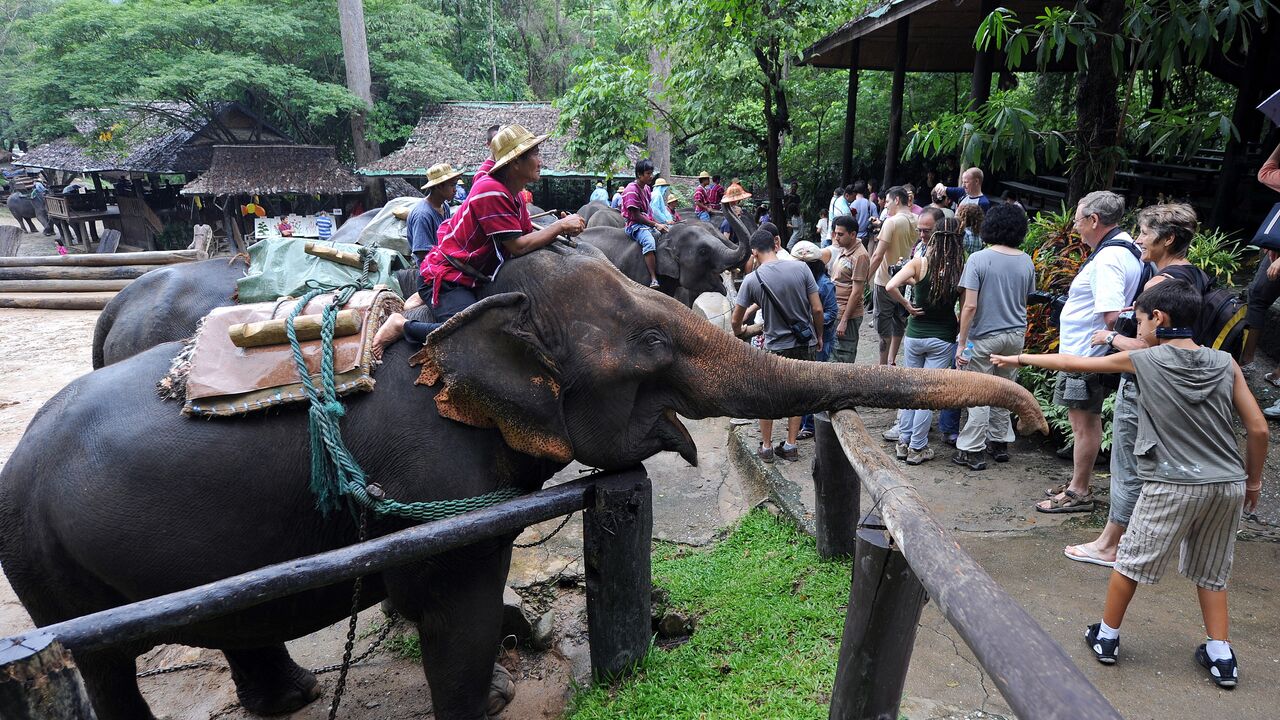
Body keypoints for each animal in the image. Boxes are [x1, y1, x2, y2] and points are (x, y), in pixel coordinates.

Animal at [0, 235, 1049, 717]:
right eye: (653, 347)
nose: (1035, 410)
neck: (466, 314)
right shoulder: (435, 468)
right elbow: (452, 594)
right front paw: (499, 690)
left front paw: (525, 638)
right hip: (54, 576)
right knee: (104, 662)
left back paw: (294, 696)